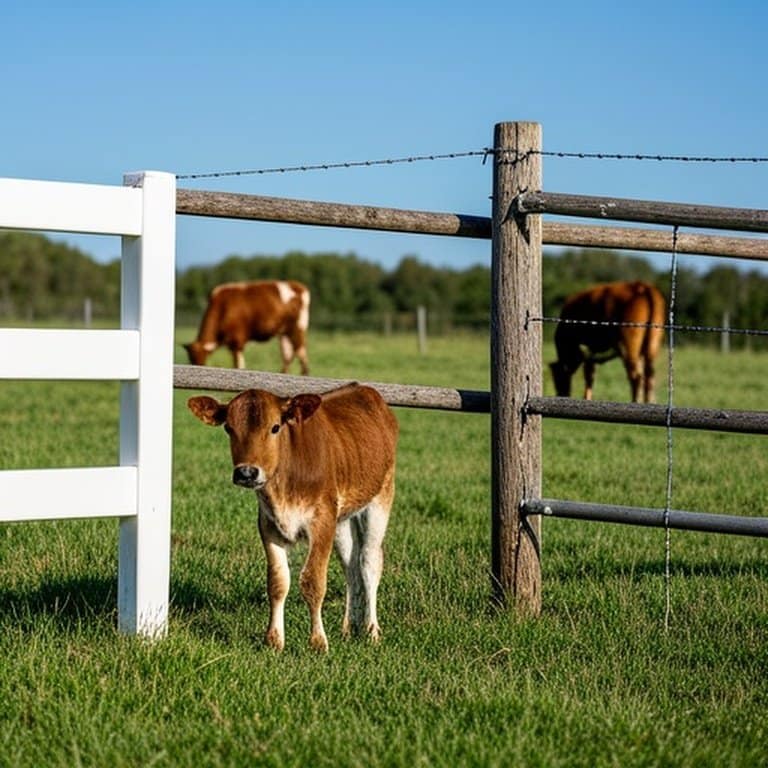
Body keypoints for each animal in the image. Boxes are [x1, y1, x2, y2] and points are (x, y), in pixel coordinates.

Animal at [188, 382, 398, 652]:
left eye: (275, 427)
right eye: (228, 428)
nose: (246, 473)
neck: (282, 489)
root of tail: (363, 388)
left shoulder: (321, 523)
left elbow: (313, 581)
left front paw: (318, 642)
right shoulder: (269, 526)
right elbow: (277, 582)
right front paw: (274, 640)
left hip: (380, 498)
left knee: (369, 561)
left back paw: (372, 631)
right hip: (341, 520)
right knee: (350, 566)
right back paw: (348, 628)